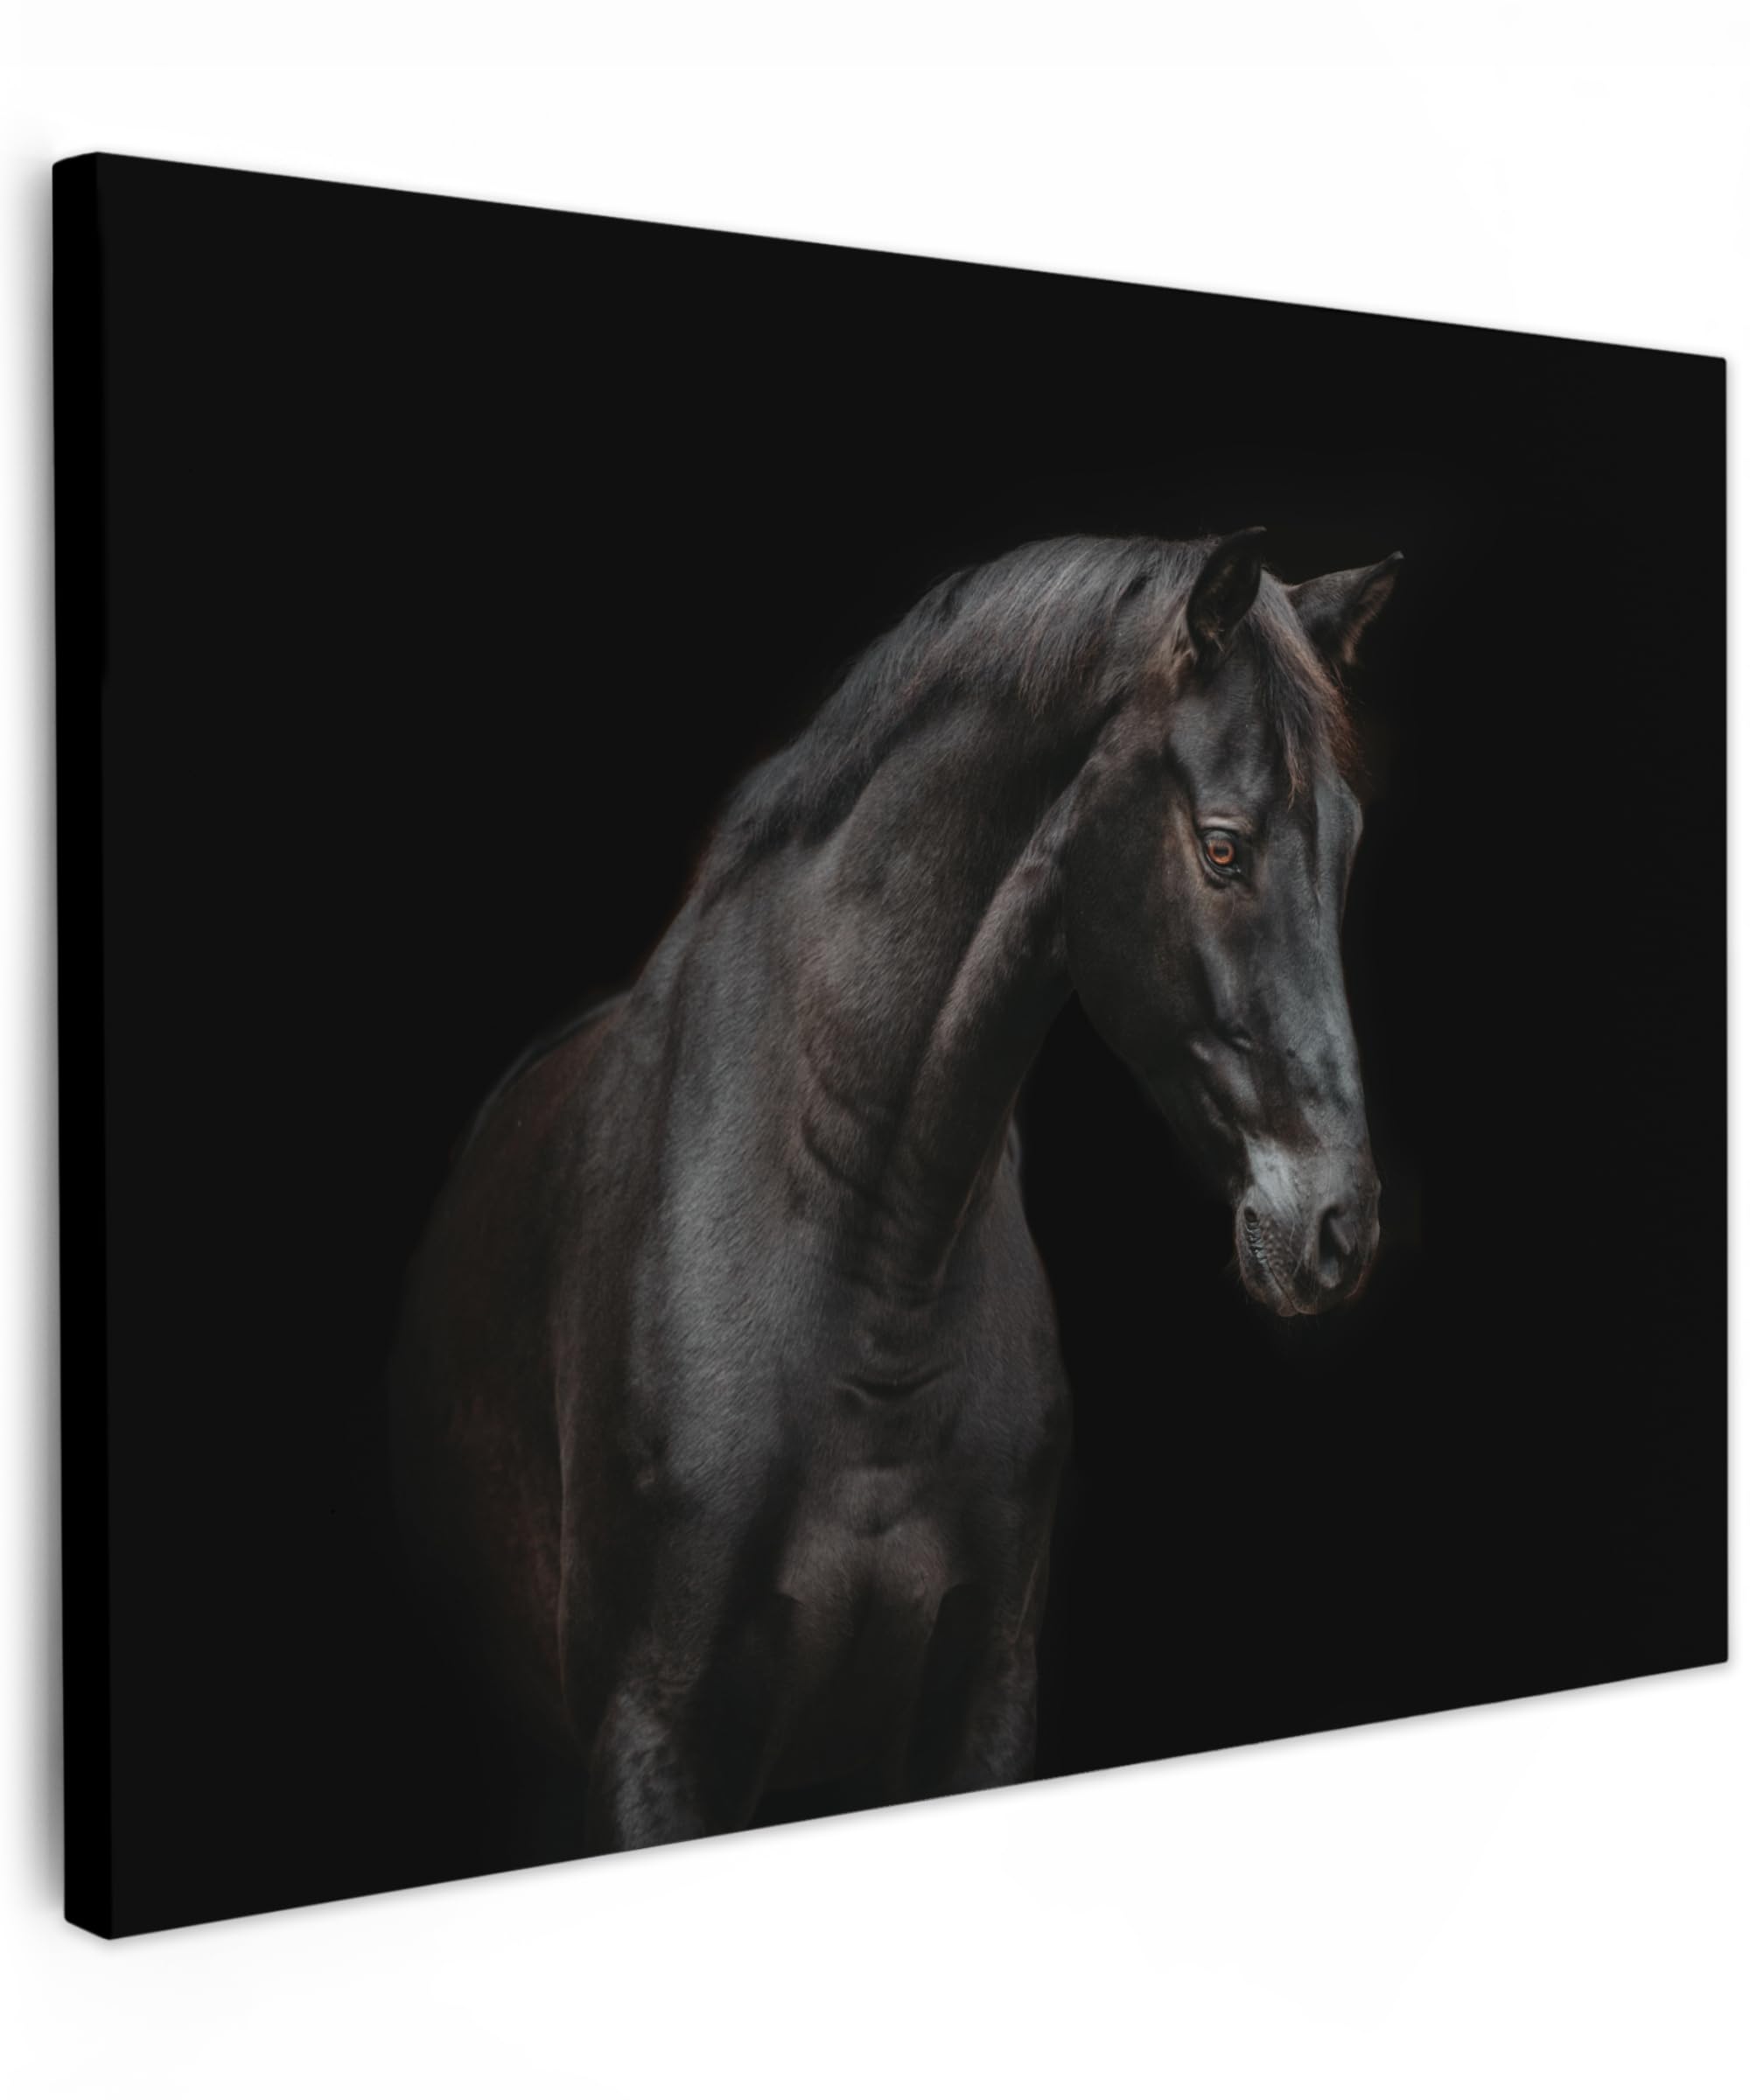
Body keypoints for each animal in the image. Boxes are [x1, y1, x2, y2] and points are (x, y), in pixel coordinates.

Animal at [389, 527, 1401, 1851]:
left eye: (1346, 842)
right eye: (1223, 845)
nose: (1334, 1227)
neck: (866, 1269)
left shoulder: (979, 1704)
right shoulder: (650, 1736)